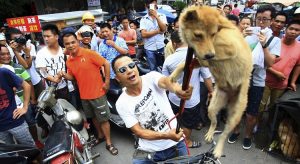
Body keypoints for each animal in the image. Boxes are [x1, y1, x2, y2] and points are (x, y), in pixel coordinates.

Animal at [170, 6, 252, 158]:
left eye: (213, 34)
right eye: (198, 35)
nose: (209, 55)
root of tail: (230, 97)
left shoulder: (230, 48)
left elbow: (211, 55)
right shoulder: (200, 56)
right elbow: (185, 63)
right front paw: (173, 75)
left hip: (235, 116)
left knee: (224, 134)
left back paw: (218, 150)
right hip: (212, 108)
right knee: (214, 122)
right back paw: (209, 134)